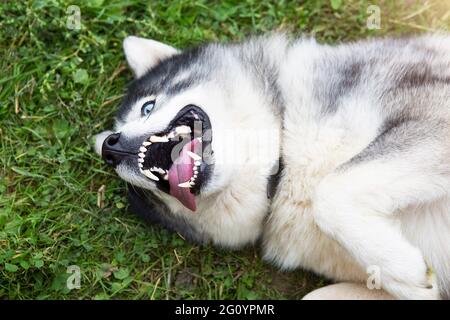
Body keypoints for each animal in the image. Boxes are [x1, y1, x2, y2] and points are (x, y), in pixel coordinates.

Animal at [96, 33, 450, 298]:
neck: (284, 166)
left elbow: (331, 191)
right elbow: (315, 295)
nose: (110, 146)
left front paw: (402, 269)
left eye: (147, 106)